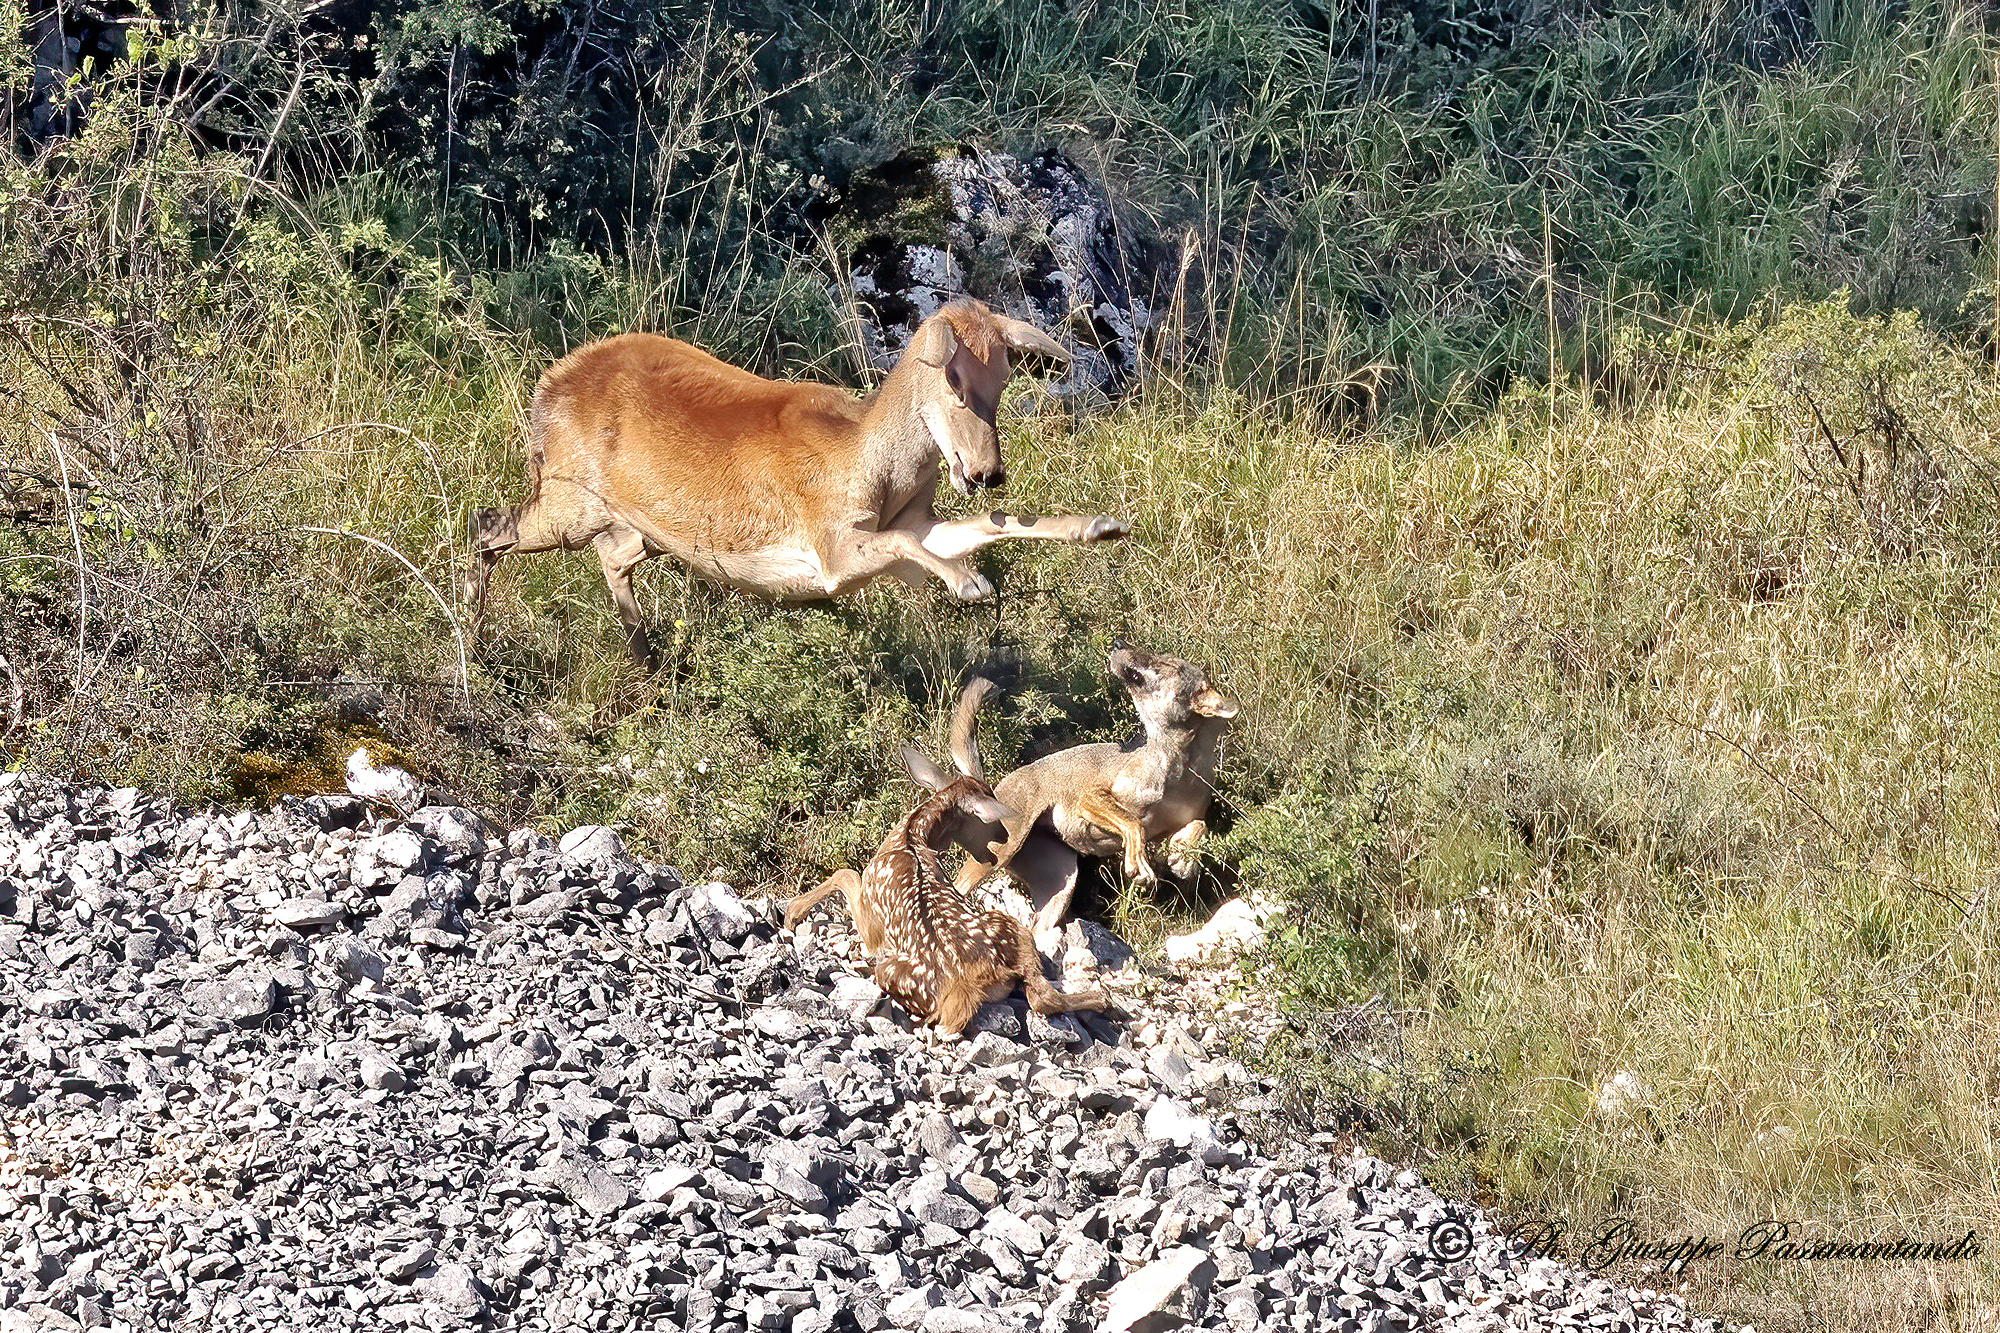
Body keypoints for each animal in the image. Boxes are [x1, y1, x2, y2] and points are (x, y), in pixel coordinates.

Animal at [465, 300, 1130, 664]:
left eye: (1006, 379)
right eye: (955, 381)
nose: (986, 471)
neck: (866, 461)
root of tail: (546, 388)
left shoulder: (915, 523)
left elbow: (991, 524)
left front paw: (1101, 525)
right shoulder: (830, 545)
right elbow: (907, 544)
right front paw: (969, 584)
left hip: (632, 525)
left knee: (610, 557)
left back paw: (646, 659)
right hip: (567, 495)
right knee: (487, 524)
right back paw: (474, 648)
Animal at [782, 680, 1113, 1035]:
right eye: (989, 819)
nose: (1002, 841)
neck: (911, 835)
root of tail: (964, 986)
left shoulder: (873, 930)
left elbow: (845, 873)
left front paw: (792, 912)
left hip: (898, 965)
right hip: (1007, 929)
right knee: (1040, 995)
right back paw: (1101, 999)